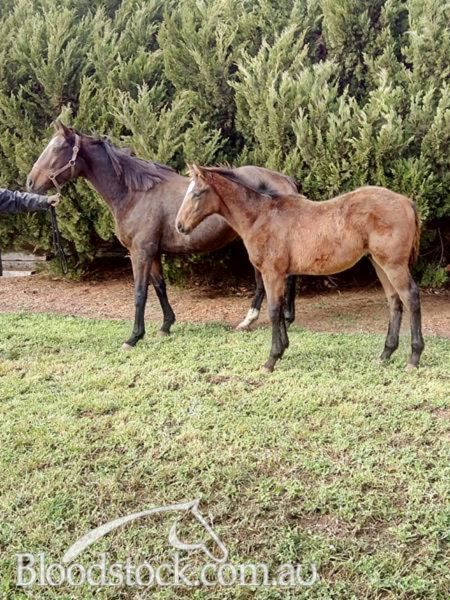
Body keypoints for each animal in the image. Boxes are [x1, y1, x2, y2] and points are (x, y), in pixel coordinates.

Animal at [27, 122, 298, 348]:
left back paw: (276, 317)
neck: (135, 194)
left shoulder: (140, 252)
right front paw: (166, 325)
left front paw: (134, 337)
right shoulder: (153, 253)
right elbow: (159, 287)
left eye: (58, 148)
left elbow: (140, 293)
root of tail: (285, 180)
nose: (30, 182)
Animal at [175, 165, 424, 372]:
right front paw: (283, 348)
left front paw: (271, 359)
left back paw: (413, 358)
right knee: (394, 301)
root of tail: (406, 202)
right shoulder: (280, 274)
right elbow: (281, 308)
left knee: (410, 297)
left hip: (393, 265)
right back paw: (385, 354)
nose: (179, 226)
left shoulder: (272, 273)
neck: (261, 216)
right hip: (378, 263)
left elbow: (273, 310)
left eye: (197, 193)